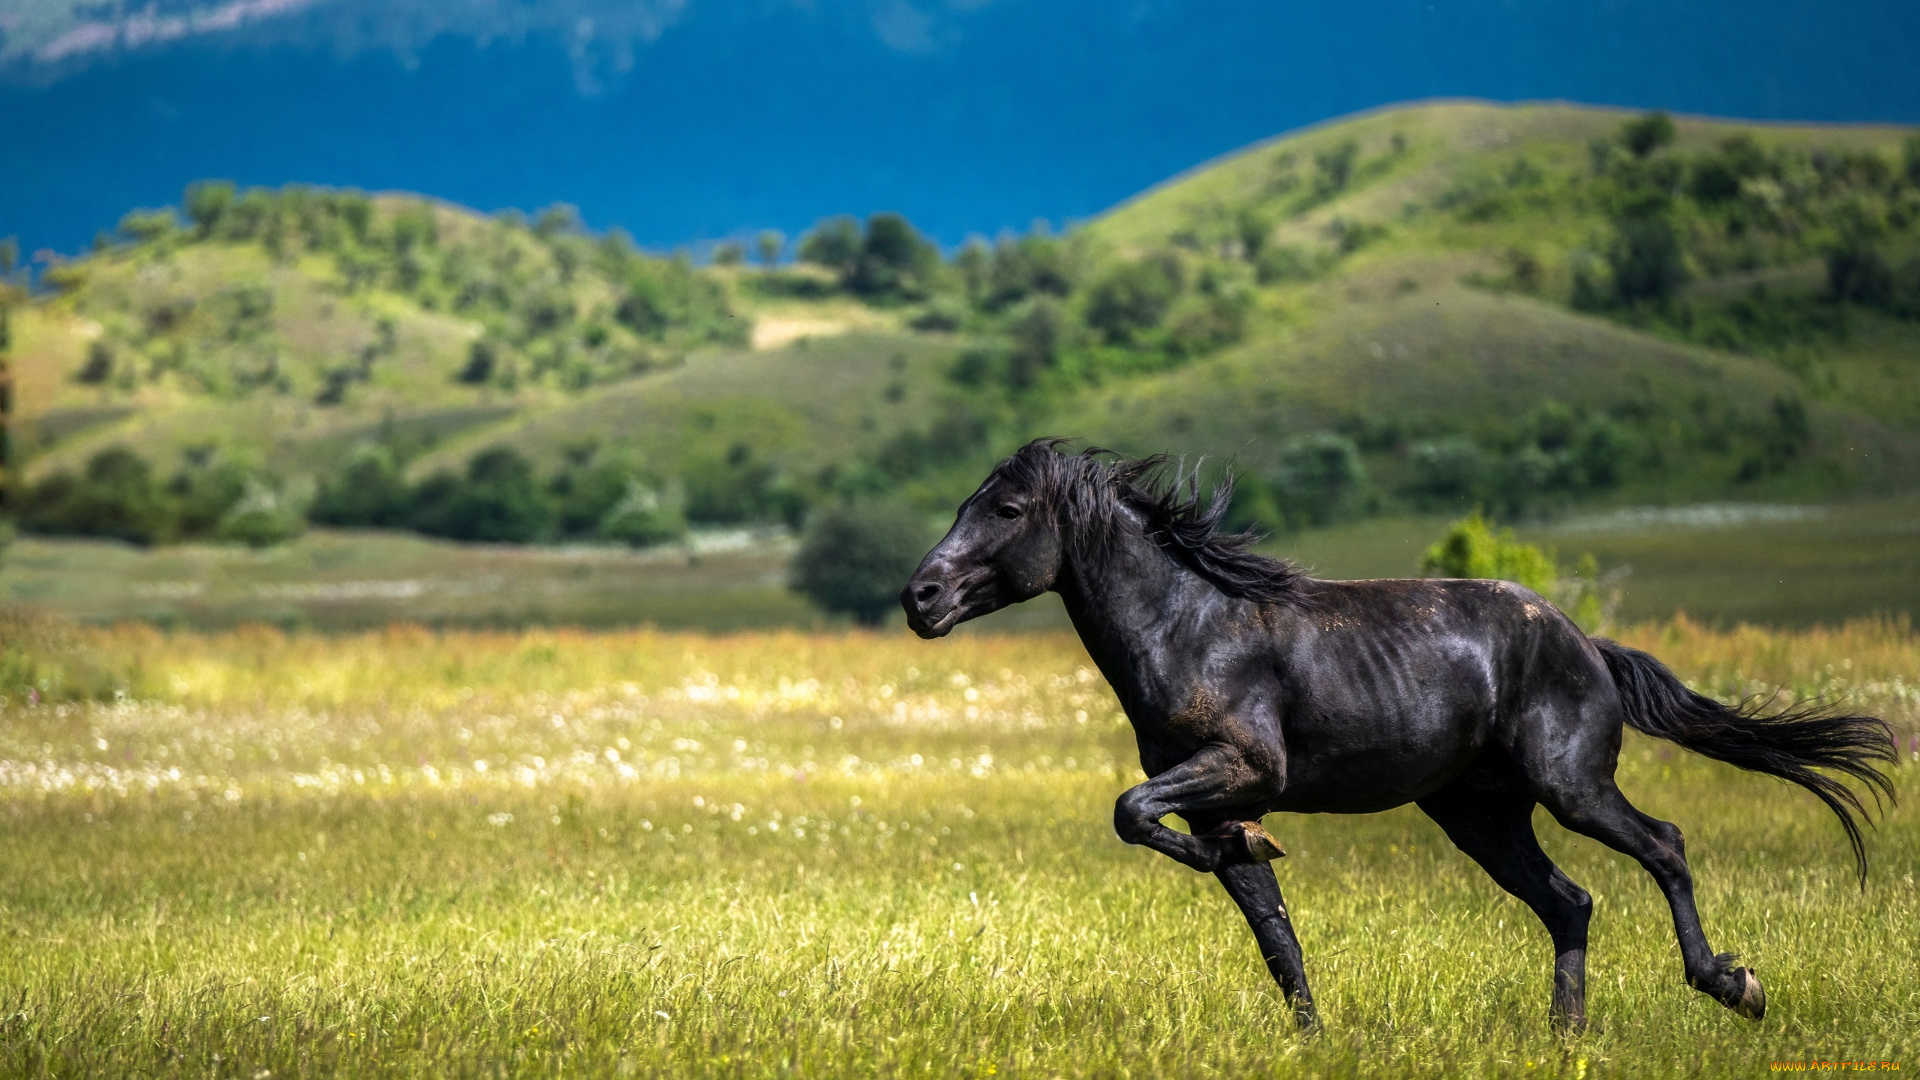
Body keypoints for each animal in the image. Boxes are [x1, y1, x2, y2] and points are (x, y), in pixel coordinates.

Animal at [898, 438, 1889, 1022]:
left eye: (1008, 510)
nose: (920, 597)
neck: (1192, 628)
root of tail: (1588, 644)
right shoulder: (1214, 798)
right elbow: (1271, 929)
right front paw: (1305, 1025)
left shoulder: (1243, 767)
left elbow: (1130, 809)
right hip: (1482, 816)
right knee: (1570, 902)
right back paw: (1565, 1038)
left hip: (1572, 786)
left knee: (1665, 847)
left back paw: (1733, 985)